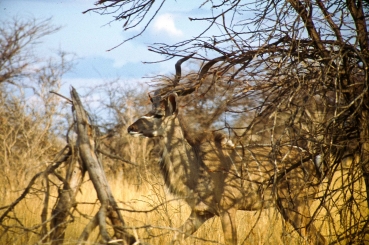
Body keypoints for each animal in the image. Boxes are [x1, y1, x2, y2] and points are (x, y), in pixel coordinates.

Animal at [126, 58, 324, 245]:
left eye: (158, 114)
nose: (131, 128)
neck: (197, 165)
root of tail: (314, 164)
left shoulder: (228, 210)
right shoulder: (201, 213)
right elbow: (175, 237)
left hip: (296, 204)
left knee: (316, 237)